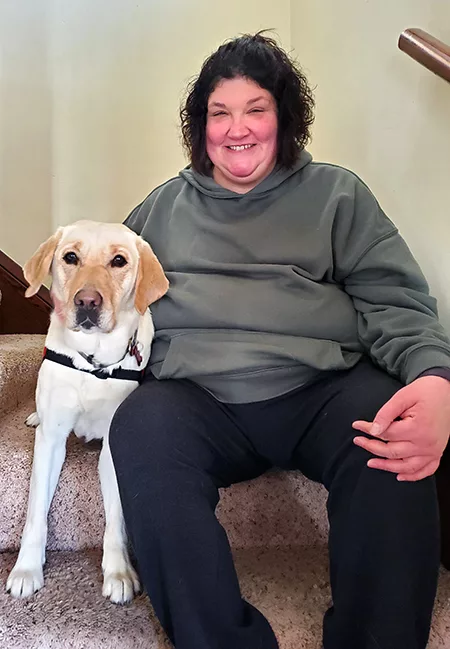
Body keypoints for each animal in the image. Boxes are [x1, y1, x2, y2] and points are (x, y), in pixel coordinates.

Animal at [6, 221, 169, 604]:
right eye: (70, 257)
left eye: (119, 261)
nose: (87, 302)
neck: (93, 362)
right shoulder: (50, 443)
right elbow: (36, 511)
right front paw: (26, 568)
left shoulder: (115, 446)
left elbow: (116, 518)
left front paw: (118, 571)